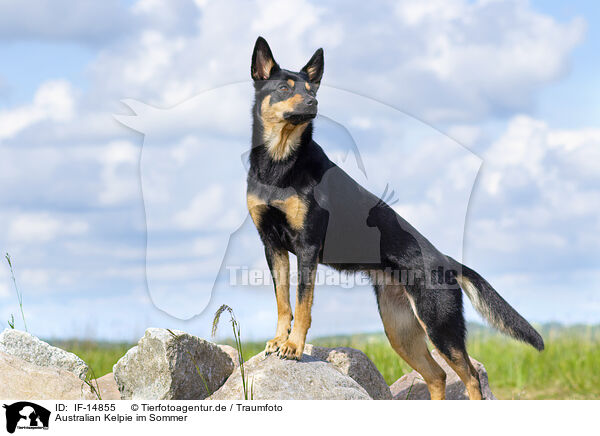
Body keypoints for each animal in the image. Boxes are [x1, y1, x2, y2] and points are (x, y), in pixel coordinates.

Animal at [245, 35, 544, 400]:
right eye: (285, 88)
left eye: (311, 87)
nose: (314, 102)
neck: (280, 162)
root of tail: (448, 261)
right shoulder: (272, 245)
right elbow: (283, 302)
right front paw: (278, 340)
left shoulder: (307, 247)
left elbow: (303, 305)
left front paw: (294, 346)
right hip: (399, 329)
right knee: (437, 376)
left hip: (439, 325)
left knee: (471, 377)